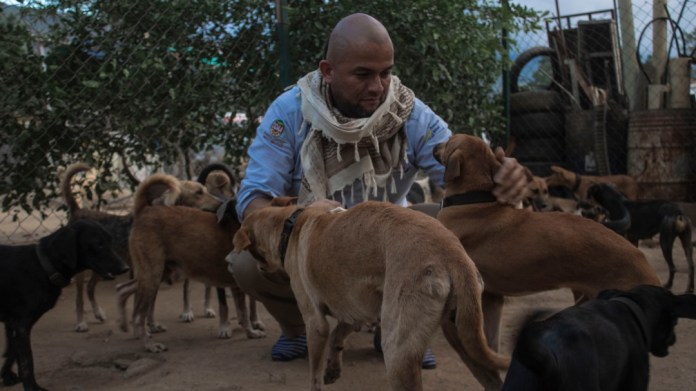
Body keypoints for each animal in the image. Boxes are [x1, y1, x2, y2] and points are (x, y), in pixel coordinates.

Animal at [0, 220, 129, 391]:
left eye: (110, 241)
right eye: (98, 244)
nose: (125, 268)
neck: (42, 266)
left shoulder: (13, 323)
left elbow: (12, 352)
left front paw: (6, 375)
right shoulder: (21, 326)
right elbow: (27, 361)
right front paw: (33, 388)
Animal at [61, 164, 223, 332]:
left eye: (206, 190)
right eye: (199, 193)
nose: (222, 203)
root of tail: (77, 211)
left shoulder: (155, 274)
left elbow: (151, 304)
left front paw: (153, 324)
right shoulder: (141, 273)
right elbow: (141, 302)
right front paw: (141, 324)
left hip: (103, 268)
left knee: (90, 288)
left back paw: (98, 313)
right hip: (81, 272)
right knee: (79, 298)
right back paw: (81, 323)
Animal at [234, 202, 512, 391]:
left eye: (255, 253)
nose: (261, 270)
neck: (292, 224)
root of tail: (453, 254)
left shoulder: (315, 323)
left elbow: (314, 372)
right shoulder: (356, 313)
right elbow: (338, 334)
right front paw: (333, 367)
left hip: (397, 351)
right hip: (463, 335)